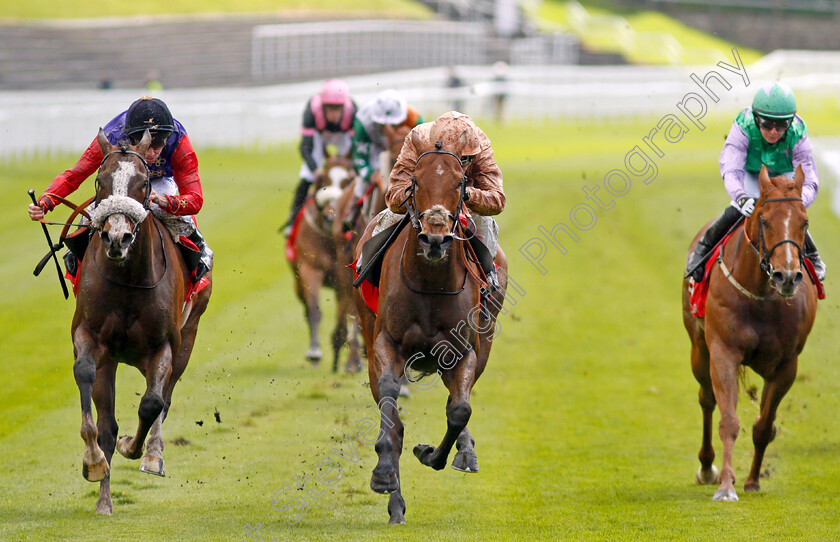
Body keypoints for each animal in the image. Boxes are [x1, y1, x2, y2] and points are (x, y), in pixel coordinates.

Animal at [72, 130, 213, 516]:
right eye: (100, 181)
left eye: (144, 183)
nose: (116, 238)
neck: (128, 279)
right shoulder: (89, 335)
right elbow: (85, 375)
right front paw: (94, 461)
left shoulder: (164, 345)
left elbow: (152, 404)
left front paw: (139, 451)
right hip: (112, 359)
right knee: (108, 420)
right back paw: (104, 499)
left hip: (189, 335)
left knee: (165, 398)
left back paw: (153, 453)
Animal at [288, 155, 360, 372]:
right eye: (323, 180)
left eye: (348, 181)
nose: (331, 217)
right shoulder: (309, 268)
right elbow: (314, 310)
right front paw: (314, 352)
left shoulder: (347, 275)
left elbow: (350, 311)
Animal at [352, 130, 506, 524]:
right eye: (415, 182)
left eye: (460, 183)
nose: (435, 239)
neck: (432, 281)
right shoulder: (386, 344)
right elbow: (391, 410)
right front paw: (384, 475)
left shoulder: (463, 350)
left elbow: (460, 410)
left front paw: (434, 453)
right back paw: (395, 502)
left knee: (458, 399)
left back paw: (465, 452)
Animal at [684, 167, 816, 506]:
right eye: (765, 220)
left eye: (804, 222)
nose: (786, 276)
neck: (760, 294)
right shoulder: (723, 353)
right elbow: (728, 420)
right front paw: (725, 485)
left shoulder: (786, 365)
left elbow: (764, 427)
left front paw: (753, 480)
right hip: (699, 349)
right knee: (706, 399)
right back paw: (707, 467)